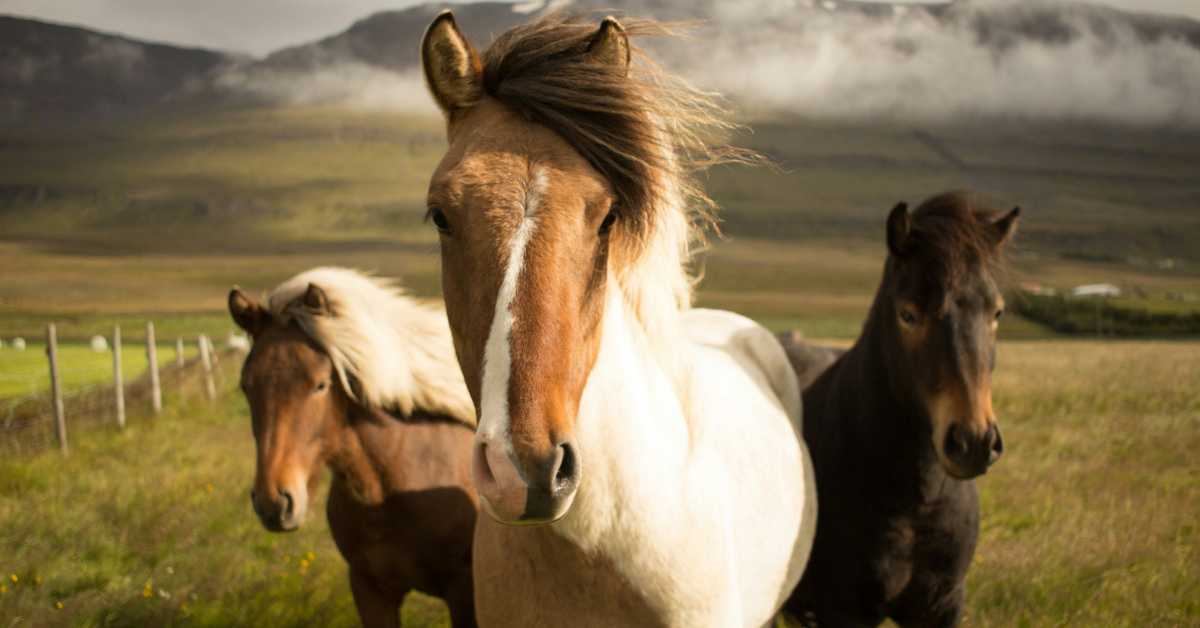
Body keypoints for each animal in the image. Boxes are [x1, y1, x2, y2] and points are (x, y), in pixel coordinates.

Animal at [787, 194, 1022, 624]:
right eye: (908, 314)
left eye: (996, 312)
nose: (974, 442)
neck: (917, 502)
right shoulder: (842, 609)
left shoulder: (943, 604)